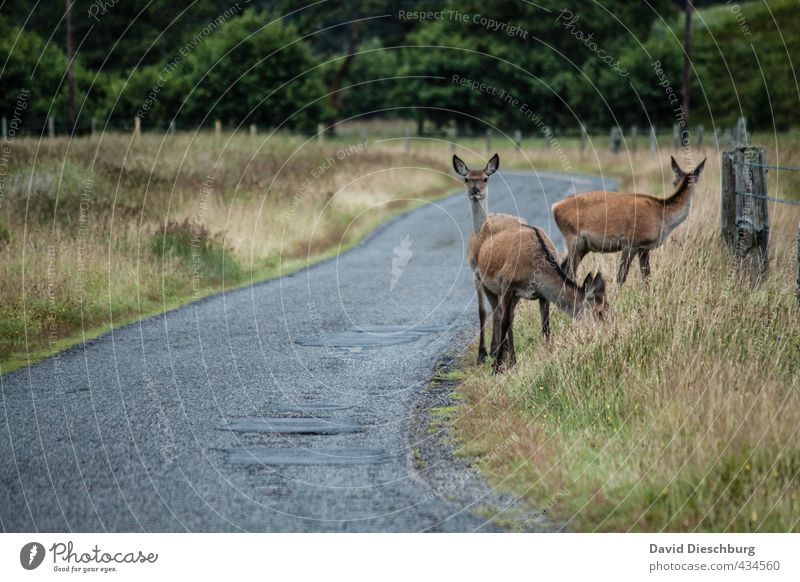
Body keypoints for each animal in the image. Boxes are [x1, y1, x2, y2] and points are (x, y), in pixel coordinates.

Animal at [454, 155, 528, 364]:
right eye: (467, 178)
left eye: (485, 178)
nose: (475, 190)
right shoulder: (478, 275)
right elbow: (488, 311)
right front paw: (490, 351)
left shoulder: (479, 275)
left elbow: (484, 312)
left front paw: (482, 353)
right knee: (501, 312)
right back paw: (500, 351)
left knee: (502, 312)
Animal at [472, 221, 608, 376]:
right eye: (600, 312)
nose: (609, 333)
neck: (533, 271)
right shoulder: (507, 285)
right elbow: (504, 322)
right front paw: (496, 368)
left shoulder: (542, 295)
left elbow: (545, 326)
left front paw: (550, 359)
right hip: (482, 279)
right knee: (498, 314)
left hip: (515, 296)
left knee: (511, 316)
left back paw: (513, 362)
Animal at [552, 156, 708, 286]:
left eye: (675, 180)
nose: (675, 183)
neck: (663, 218)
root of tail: (555, 207)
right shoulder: (630, 242)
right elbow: (621, 277)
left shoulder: (644, 248)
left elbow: (646, 276)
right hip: (574, 238)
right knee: (569, 271)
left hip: (585, 246)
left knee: (562, 267)